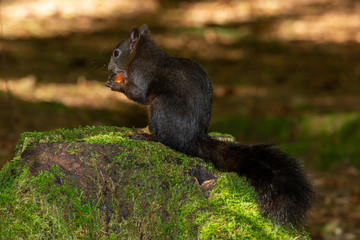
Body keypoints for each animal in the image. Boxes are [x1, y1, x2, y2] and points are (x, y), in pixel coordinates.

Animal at [105, 24, 314, 225]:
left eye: (116, 52)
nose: (109, 68)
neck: (140, 53)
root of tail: (194, 139)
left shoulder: (142, 74)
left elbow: (139, 94)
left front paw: (116, 85)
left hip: (161, 107)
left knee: (165, 139)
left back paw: (146, 135)